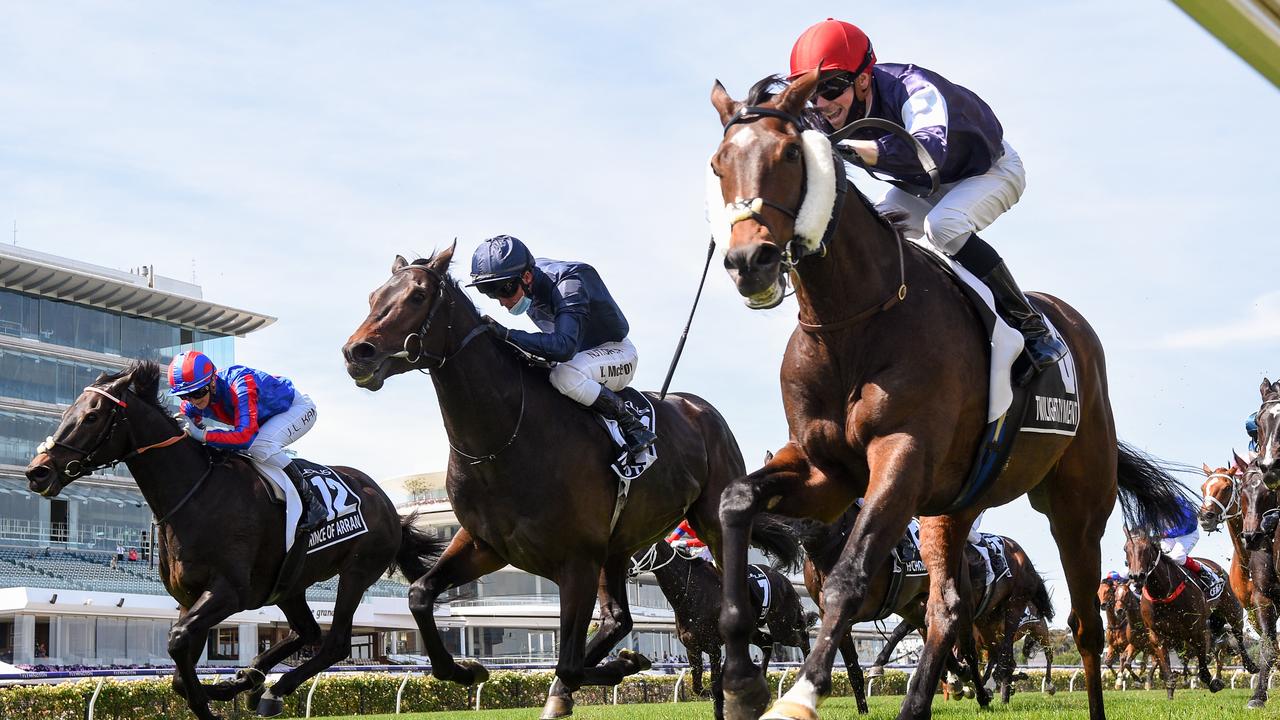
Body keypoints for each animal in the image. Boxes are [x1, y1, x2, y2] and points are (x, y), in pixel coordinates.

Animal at [23, 361, 445, 717]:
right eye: (67, 413)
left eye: (92, 416)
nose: (37, 472)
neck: (196, 495)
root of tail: (386, 503)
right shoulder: (190, 597)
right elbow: (179, 666)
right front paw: (224, 686)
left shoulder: (229, 592)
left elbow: (178, 641)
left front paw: (213, 699)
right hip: (289, 585)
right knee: (308, 631)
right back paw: (254, 679)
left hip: (357, 570)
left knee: (335, 641)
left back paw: (271, 689)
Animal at [627, 538, 808, 717]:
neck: (691, 591)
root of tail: (785, 581)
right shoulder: (692, 648)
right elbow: (697, 687)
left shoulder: (713, 647)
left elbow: (713, 681)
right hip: (753, 632)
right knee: (767, 641)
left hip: (783, 627)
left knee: (802, 638)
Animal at [706, 68, 1182, 717]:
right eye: (717, 164)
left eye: (788, 155)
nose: (747, 261)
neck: (852, 320)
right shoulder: (826, 472)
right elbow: (735, 501)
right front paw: (740, 680)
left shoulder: (902, 455)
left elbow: (850, 577)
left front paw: (800, 694)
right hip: (952, 506)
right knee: (949, 606)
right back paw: (918, 702)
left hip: (1077, 507)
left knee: (1087, 627)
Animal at [1126, 527, 1254, 696]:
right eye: (1126, 549)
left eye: (1146, 549)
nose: (1136, 576)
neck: (1162, 593)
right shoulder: (1156, 633)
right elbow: (1166, 667)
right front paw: (1170, 689)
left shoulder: (1196, 628)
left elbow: (1203, 667)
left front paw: (1214, 683)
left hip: (1233, 610)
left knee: (1238, 635)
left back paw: (1251, 665)